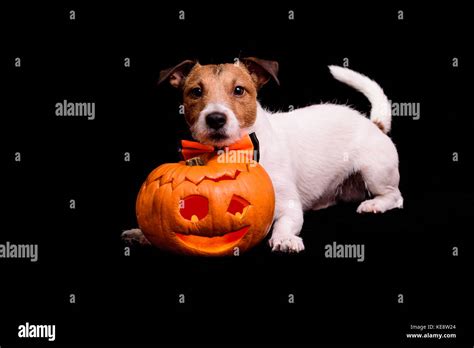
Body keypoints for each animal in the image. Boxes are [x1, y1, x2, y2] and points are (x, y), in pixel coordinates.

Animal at [122, 57, 404, 253]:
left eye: (239, 90)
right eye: (196, 92)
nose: (215, 118)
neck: (229, 152)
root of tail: (373, 123)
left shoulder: (290, 207)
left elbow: (283, 223)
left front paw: (284, 238)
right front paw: (142, 234)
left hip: (375, 172)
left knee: (395, 197)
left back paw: (375, 204)